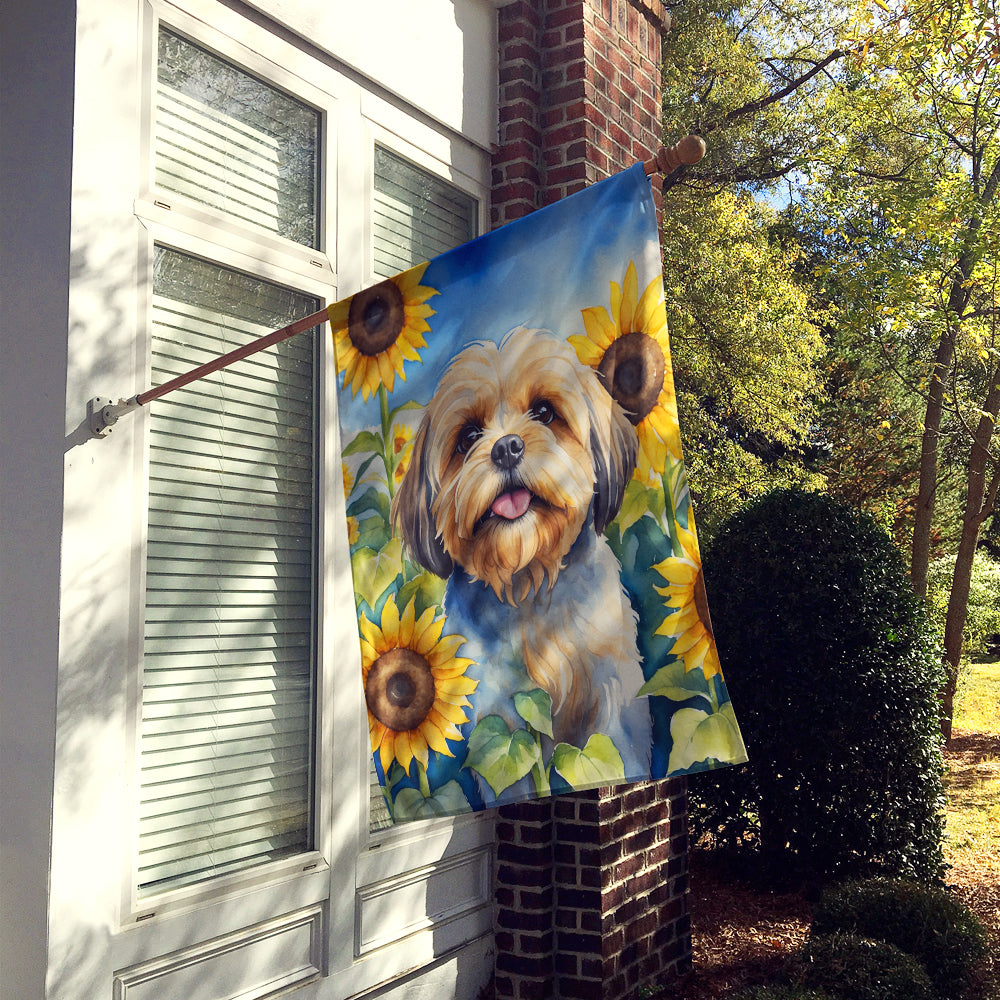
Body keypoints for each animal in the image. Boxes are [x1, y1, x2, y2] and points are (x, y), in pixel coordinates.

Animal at [394, 328, 652, 804]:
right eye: (468, 436)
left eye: (545, 412)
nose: (507, 446)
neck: (527, 577)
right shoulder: (500, 715)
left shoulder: (612, 696)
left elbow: (618, 753)